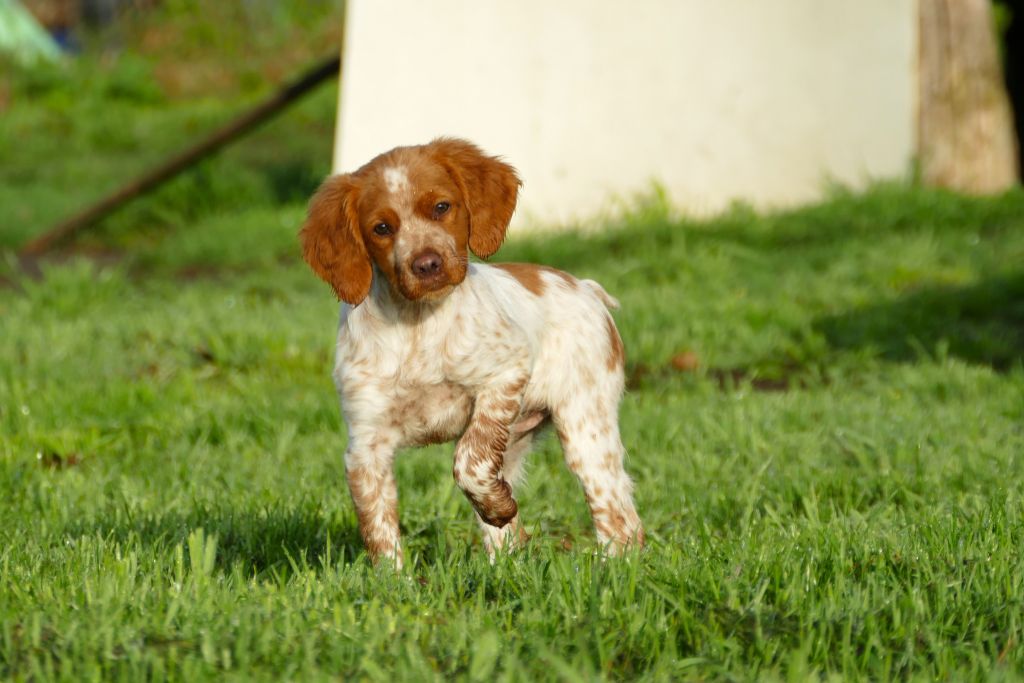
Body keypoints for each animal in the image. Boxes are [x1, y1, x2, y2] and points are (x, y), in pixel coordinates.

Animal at [299, 137, 643, 565]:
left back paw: (616, 568)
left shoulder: (506, 371)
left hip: (587, 426)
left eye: (441, 207)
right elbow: (380, 532)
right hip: (516, 443)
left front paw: (497, 505)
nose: (427, 264)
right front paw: (397, 580)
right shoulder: (365, 444)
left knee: (619, 517)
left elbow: (467, 459)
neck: (418, 323)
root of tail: (585, 286)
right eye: (381, 228)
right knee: (510, 536)